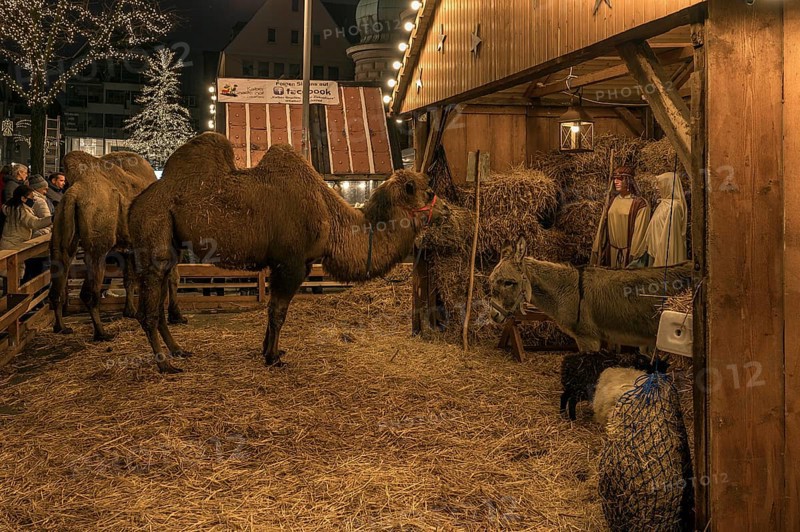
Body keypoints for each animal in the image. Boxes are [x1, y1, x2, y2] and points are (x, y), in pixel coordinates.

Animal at [49, 151, 186, 341]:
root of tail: (74, 193)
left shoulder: (128, 249)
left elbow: (129, 279)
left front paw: (130, 312)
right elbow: (173, 277)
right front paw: (176, 316)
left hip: (61, 223)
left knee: (59, 274)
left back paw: (61, 327)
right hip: (98, 246)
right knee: (90, 291)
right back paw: (102, 333)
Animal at [128, 132, 449, 373]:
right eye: (430, 192)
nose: (446, 210)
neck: (330, 217)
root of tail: (135, 204)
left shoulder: (290, 264)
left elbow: (273, 309)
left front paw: (269, 350)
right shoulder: (291, 264)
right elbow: (279, 311)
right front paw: (273, 358)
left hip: (170, 244)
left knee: (159, 300)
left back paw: (178, 351)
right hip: (153, 232)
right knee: (149, 306)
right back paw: (165, 365)